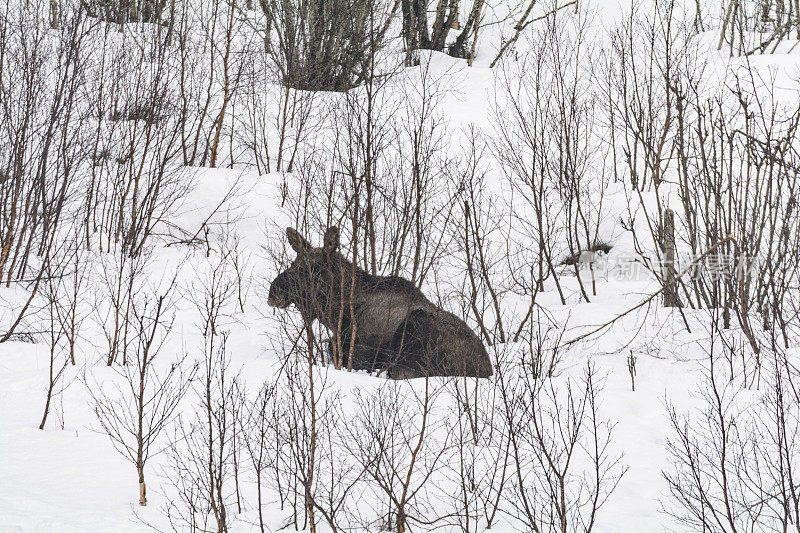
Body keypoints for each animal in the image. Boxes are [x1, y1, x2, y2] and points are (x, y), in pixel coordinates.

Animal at [268, 225, 494, 378]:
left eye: (313, 268)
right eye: (294, 263)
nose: (273, 292)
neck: (337, 311)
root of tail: (488, 370)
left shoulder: (360, 349)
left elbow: (333, 348)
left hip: (418, 322)